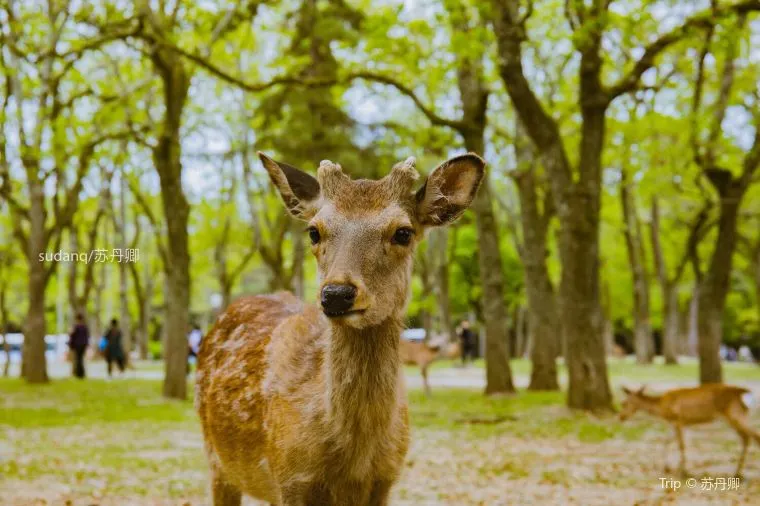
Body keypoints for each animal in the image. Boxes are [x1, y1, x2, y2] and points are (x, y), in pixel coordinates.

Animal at [194, 151, 480, 506]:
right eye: (313, 232)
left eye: (403, 232)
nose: (336, 294)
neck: (352, 463)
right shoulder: (288, 477)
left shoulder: (385, 480)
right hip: (216, 459)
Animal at [620, 386, 756, 476]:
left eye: (624, 403)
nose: (621, 417)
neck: (661, 407)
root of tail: (744, 394)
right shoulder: (677, 423)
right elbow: (666, 442)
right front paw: (667, 468)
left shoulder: (678, 420)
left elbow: (681, 445)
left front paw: (682, 471)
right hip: (741, 416)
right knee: (748, 438)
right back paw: (738, 472)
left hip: (734, 416)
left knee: (752, 437)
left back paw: (738, 473)